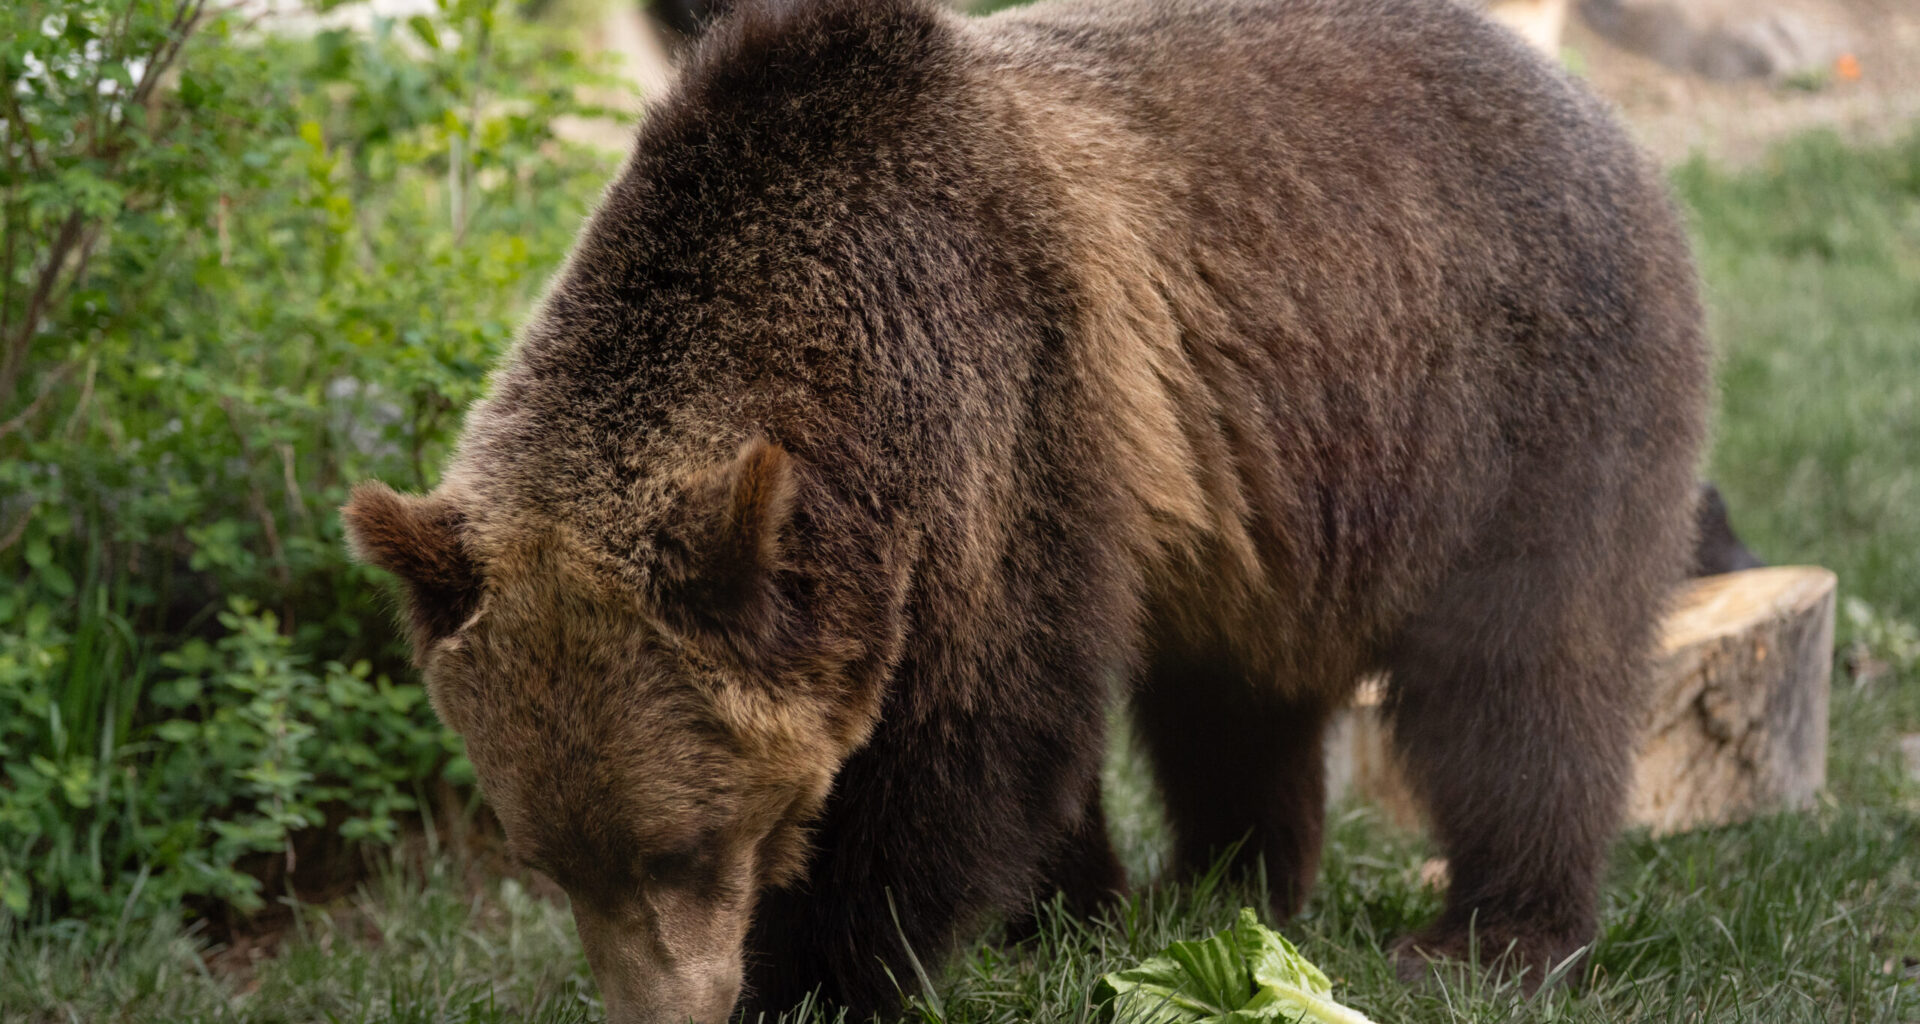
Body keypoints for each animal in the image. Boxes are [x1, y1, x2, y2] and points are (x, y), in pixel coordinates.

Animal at [340, 0, 1710, 1019]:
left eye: (686, 843)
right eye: (546, 857)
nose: (670, 1008)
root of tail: (1601, 117)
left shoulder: (1012, 427)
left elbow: (972, 742)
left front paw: (822, 974)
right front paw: (1066, 913)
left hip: (1517, 403)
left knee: (1525, 676)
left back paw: (1496, 933)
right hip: (1277, 499)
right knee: (1233, 695)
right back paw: (1224, 885)